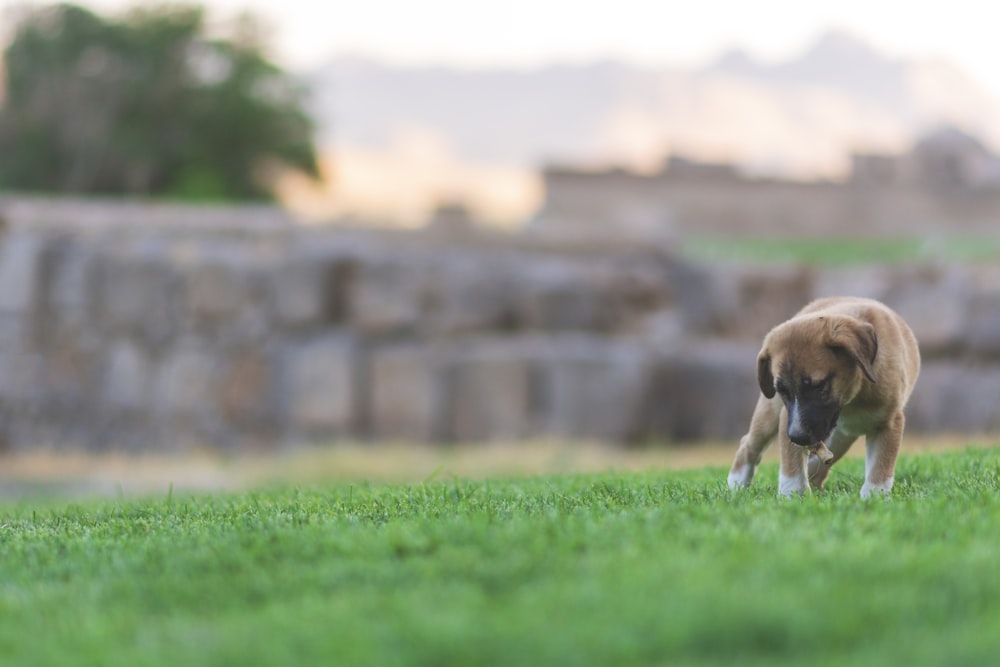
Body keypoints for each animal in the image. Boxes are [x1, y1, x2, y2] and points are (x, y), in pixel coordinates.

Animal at [728, 298, 920, 496]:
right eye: (782, 390)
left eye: (818, 386)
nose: (797, 437)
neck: (852, 398)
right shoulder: (787, 417)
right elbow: (792, 465)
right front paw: (792, 494)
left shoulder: (888, 423)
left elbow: (880, 469)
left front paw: (873, 497)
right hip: (770, 414)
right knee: (748, 445)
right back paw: (735, 485)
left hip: (839, 439)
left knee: (819, 468)